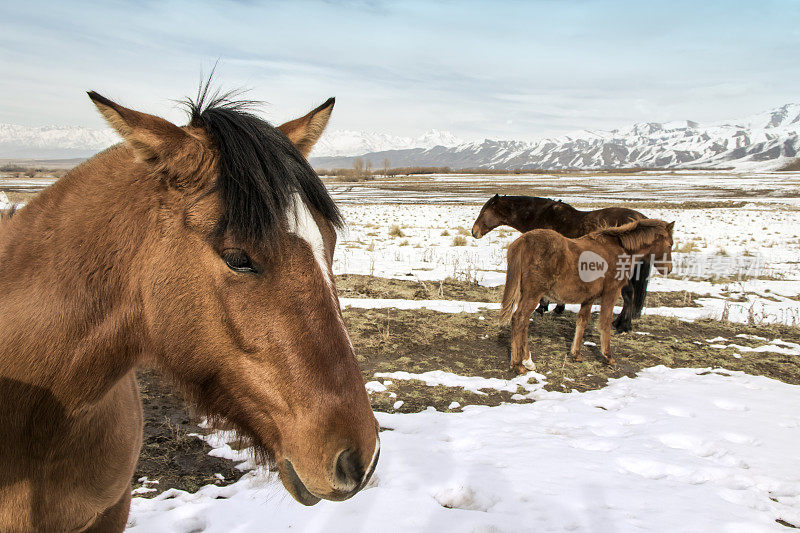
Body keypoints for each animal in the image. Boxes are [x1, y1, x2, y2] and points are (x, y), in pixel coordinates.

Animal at [472, 193, 648, 330]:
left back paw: (623, 326)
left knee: (629, 294)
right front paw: (557, 308)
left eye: (484, 211)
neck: (540, 216)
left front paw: (543, 308)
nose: (474, 232)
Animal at [504, 218, 672, 372]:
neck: (619, 250)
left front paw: (576, 354)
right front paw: (608, 356)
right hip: (534, 294)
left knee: (524, 322)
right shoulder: (611, 293)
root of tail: (523, 241)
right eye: (670, 244)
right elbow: (605, 322)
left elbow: (582, 322)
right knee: (519, 319)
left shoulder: (588, 299)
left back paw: (528, 361)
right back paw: (518, 364)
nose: (668, 269)